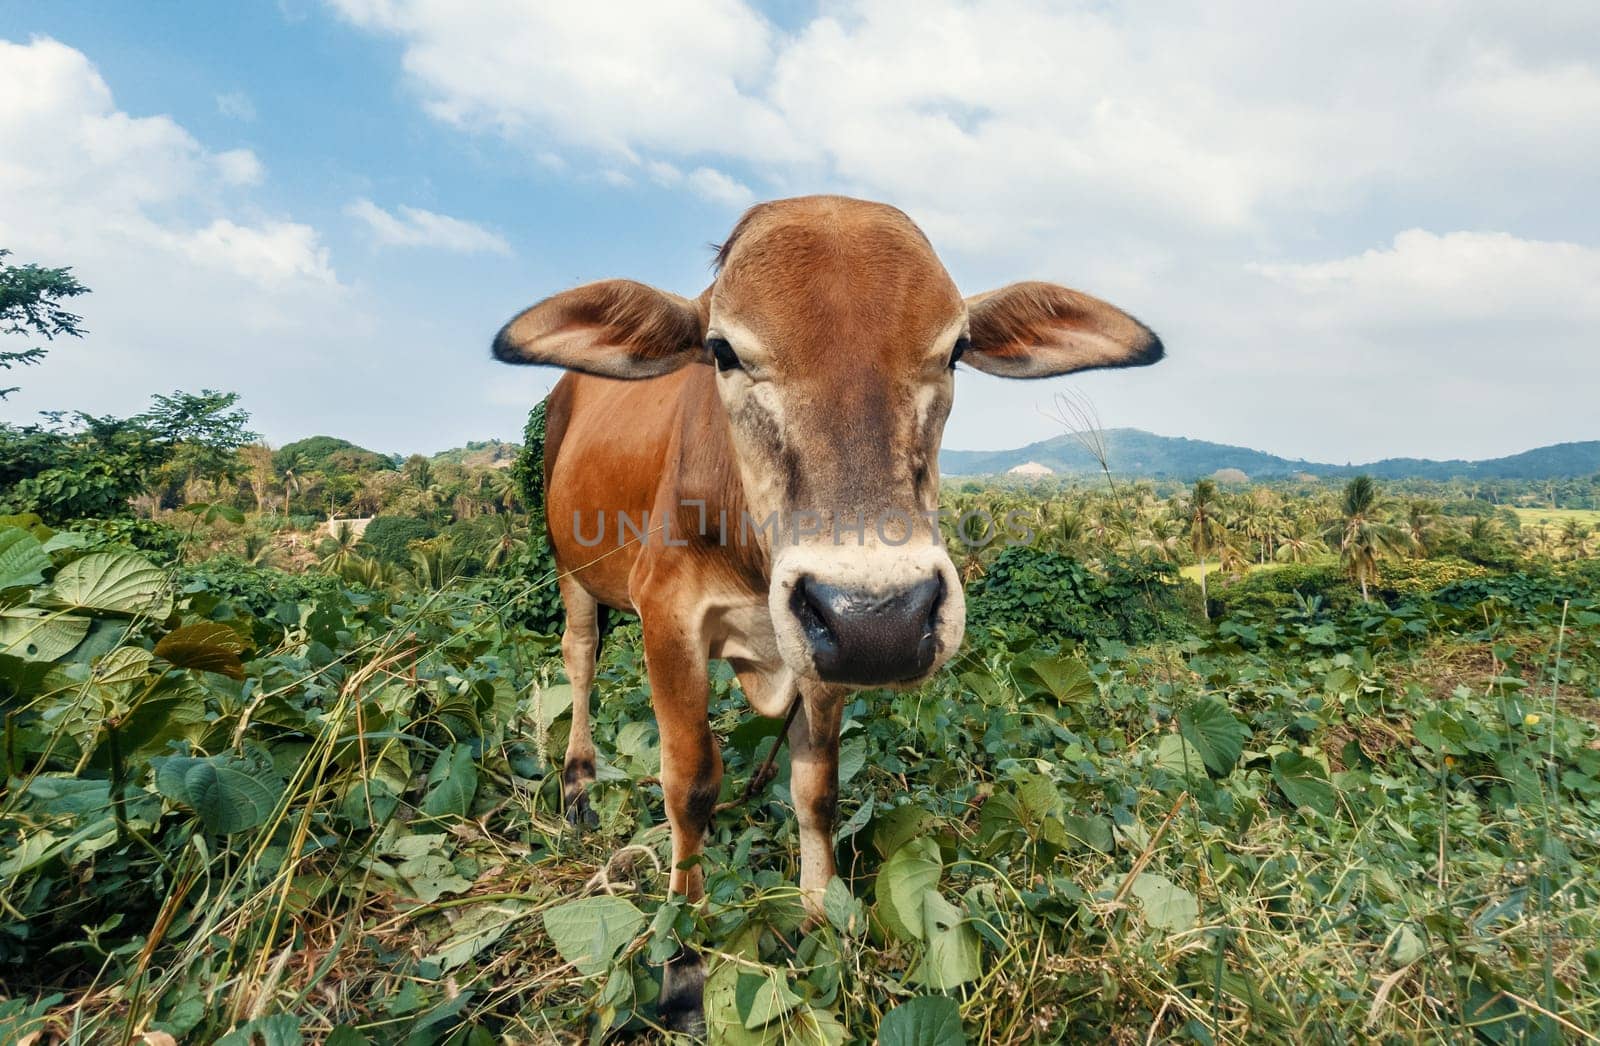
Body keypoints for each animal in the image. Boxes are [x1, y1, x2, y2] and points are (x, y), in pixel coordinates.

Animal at [489, 194, 1164, 1030]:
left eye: (954, 350)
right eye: (723, 350)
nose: (885, 617)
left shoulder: (823, 649)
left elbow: (817, 789)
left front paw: (819, 918)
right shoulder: (669, 617)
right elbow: (690, 783)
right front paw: (682, 958)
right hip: (572, 570)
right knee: (579, 660)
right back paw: (579, 782)